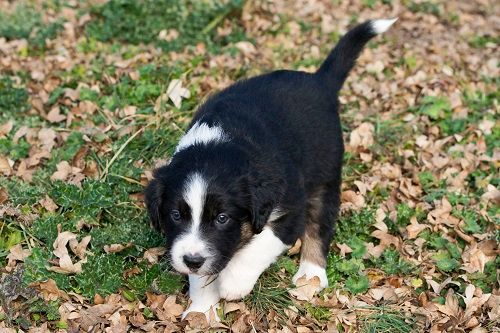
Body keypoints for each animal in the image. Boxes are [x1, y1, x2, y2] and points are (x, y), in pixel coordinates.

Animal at [146, 17, 398, 316]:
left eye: (222, 218)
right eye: (175, 215)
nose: (192, 260)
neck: (220, 145)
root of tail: (319, 81)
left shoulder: (291, 208)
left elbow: (262, 243)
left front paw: (233, 283)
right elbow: (205, 274)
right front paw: (201, 311)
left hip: (325, 176)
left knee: (319, 225)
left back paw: (311, 274)